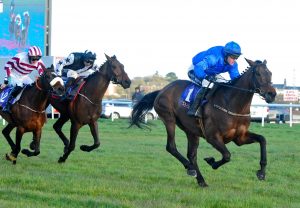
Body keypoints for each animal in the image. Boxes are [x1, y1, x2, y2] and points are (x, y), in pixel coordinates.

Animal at [131, 58, 276, 187]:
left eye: (270, 73)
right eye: (258, 74)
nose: (272, 94)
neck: (232, 104)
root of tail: (161, 90)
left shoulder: (239, 138)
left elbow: (262, 140)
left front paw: (262, 172)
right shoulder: (212, 137)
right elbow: (227, 155)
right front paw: (211, 161)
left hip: (191, 130)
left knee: (191, 155)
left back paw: (200, 180)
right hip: (169, 119)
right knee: (171, 147)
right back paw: (190, 168)